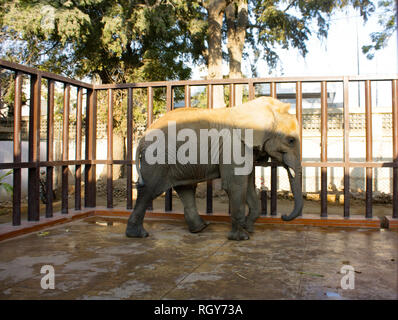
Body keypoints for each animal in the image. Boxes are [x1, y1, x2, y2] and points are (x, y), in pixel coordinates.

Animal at [126, 96, 304, 241]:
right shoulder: (233, 147)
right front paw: (241, 238)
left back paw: (200, 229)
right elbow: (236, 185)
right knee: (150, 189)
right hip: (157, 157)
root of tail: (142, 137)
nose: (284, 216)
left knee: (186, 188)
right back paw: (138, 235)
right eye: (291, 140)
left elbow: (247, 184)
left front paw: (249, 228)